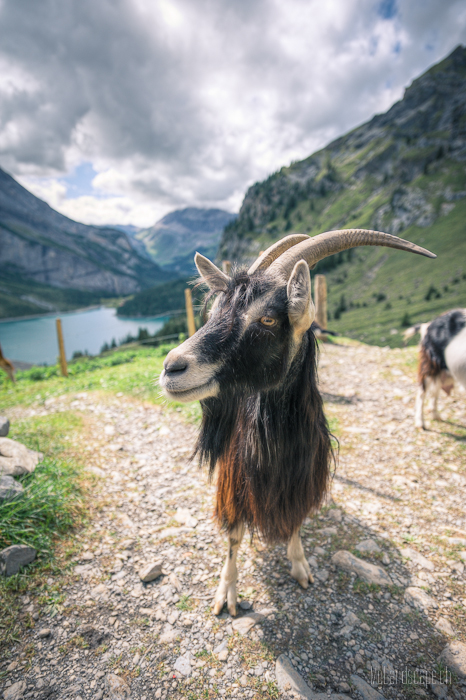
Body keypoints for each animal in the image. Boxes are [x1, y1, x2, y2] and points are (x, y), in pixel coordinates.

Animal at [159, 228, 434, 612]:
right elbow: (234, 534)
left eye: (268, 319)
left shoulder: (301, 478)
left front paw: (300, 565)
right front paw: (227, 592)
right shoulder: (235, 478)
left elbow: (294, 521)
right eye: (213, 312)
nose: (172, 367)